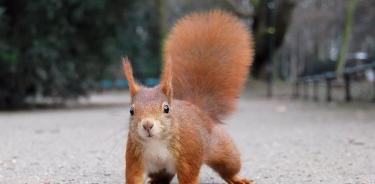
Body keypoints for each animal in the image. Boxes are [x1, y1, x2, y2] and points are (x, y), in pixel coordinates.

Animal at [123, 10, 256, 184]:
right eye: (131, 111)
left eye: (166, 108)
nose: (147, 125)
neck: (156, 142)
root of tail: (198, 109)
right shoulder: (134, 156)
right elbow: (134, 175)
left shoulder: (188, 153)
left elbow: (189, 175)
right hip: (159, 168)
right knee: (164, 175)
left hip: (223, 150)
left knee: (229, 167)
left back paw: (236, 178)